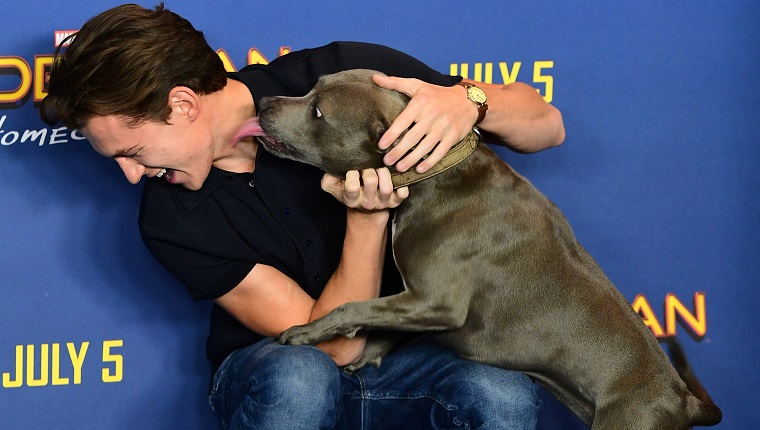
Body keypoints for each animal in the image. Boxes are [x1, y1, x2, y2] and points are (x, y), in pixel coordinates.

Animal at [252, 69, 720, 428]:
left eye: (318, 111)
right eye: (311, 86)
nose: (263, 102)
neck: (434, 173)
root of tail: (681, 399)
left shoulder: (435, 301)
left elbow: (354, 306)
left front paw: (306, 332)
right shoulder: (412, 299)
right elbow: (379, 320)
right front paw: (363, 361)